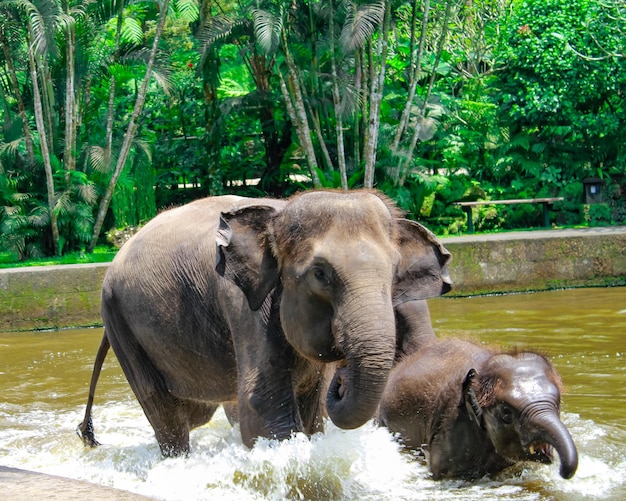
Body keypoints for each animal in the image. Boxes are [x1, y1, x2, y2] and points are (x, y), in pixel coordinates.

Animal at [77, 189, 448, 456]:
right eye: (320, 274)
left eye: (394, 272)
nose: (341, 379)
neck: (277, 215)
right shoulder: (242, 302)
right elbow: (262, 411)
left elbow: (310, 414)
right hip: (118, 320)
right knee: (166, 415)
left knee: (195, 413)